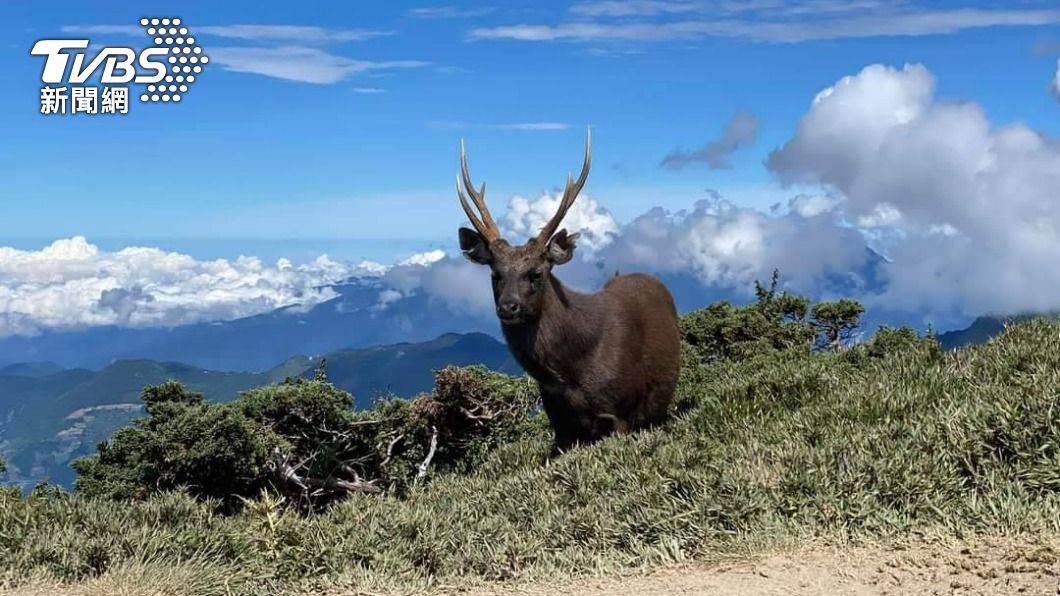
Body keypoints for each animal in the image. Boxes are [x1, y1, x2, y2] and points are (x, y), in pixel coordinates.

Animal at [455, 130, 681, 451]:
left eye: (536, 273)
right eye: (495, 274)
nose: (508, 307)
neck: (569, 374)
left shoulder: (618, 412)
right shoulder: (559, 424)